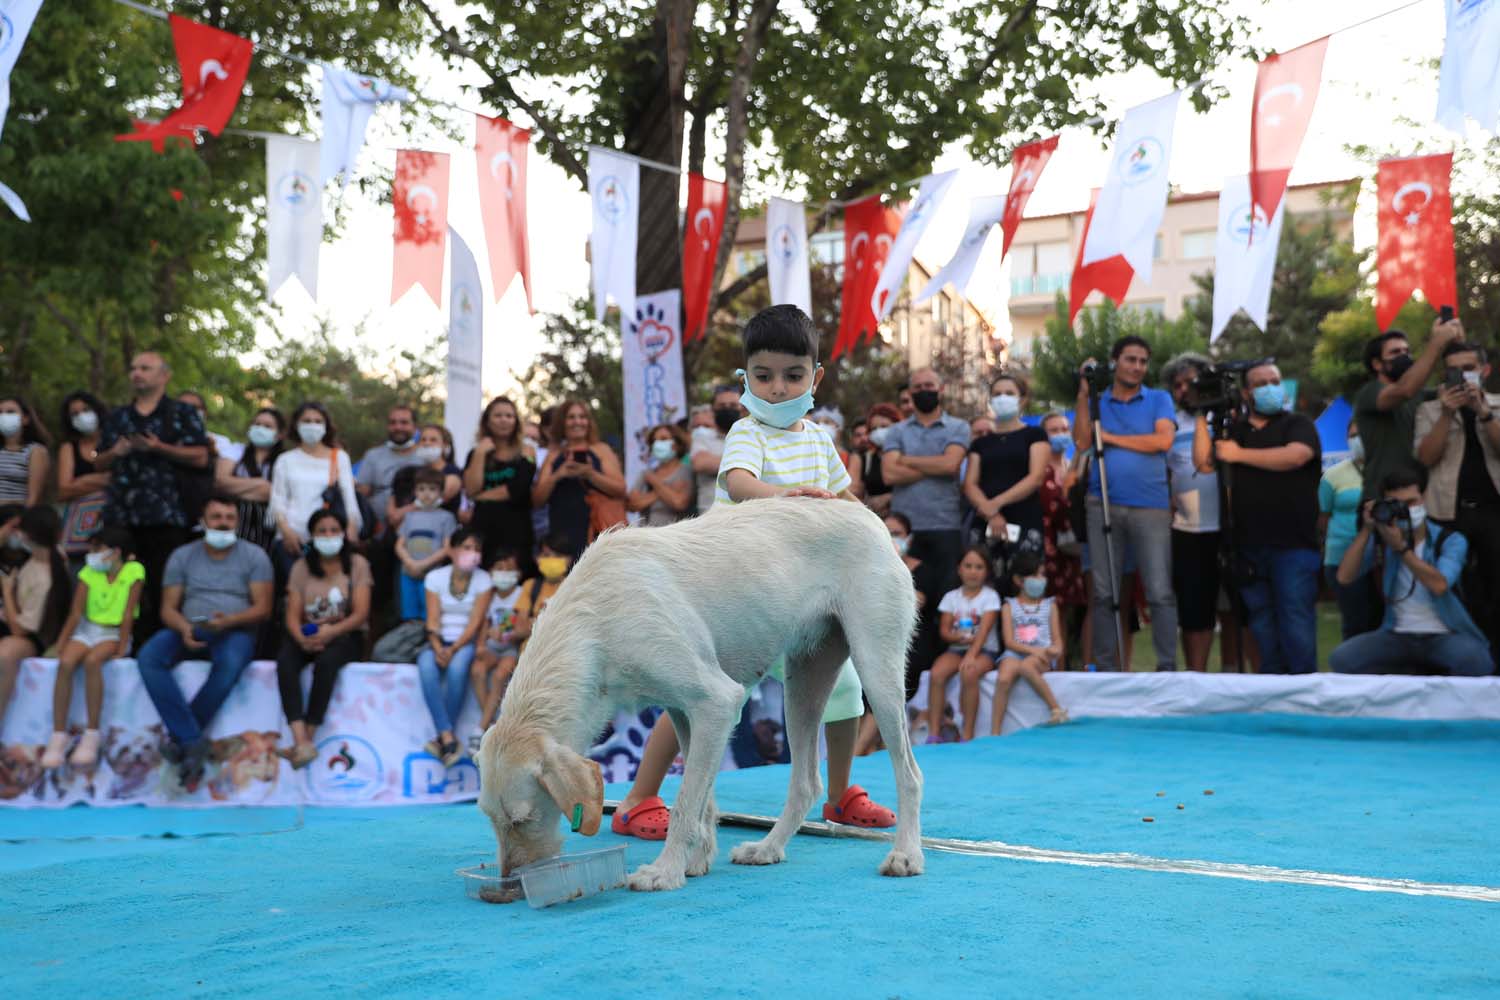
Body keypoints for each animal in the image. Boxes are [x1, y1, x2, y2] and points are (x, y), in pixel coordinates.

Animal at [478, 496, 924, 891]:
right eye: (489, 818)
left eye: (522, 819)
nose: (508, 883)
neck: (592, 624)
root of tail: (868, 515)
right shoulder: (683, 711)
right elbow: (701, 799)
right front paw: (696, 861)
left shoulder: (717, 702)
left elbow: (685, 803)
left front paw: (665, 872)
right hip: (805, 683)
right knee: (806, 783)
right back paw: (768, 848)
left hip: (878, 673)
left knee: (909, 774)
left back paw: (906, 855)